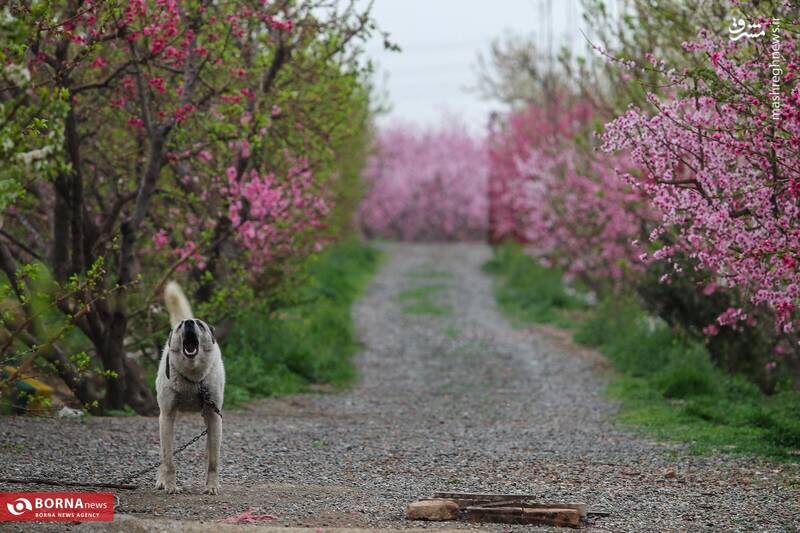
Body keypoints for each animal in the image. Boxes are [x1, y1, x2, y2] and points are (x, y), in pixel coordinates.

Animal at [156, 280, 225, 492]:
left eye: (200, 324)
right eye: (181, 326)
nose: (188, 323)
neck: (193, 378)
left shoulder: (214, 417)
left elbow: (213, 461)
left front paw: (212, 486)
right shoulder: (167, 416)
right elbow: (169, 460)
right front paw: (170, 485)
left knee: (209, 452)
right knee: (163, 457)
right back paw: (161, 480)